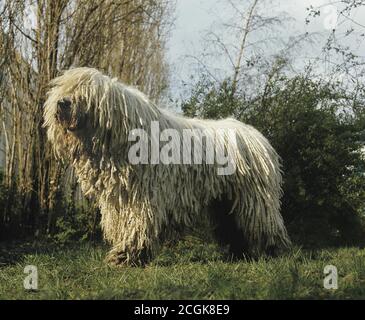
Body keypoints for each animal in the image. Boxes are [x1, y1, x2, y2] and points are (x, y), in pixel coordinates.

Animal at [44, 67, 290, 264]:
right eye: (63, 88)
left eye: (85, 91)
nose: (63, 103)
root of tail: (256, 135)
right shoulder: (119, 199)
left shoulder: (141, 196)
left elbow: (137, 224)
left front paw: (128, 256)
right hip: (224, 199)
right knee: (233, 226)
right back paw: (239, 254)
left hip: (254, 196)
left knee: (264, 223)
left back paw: (273, 252)